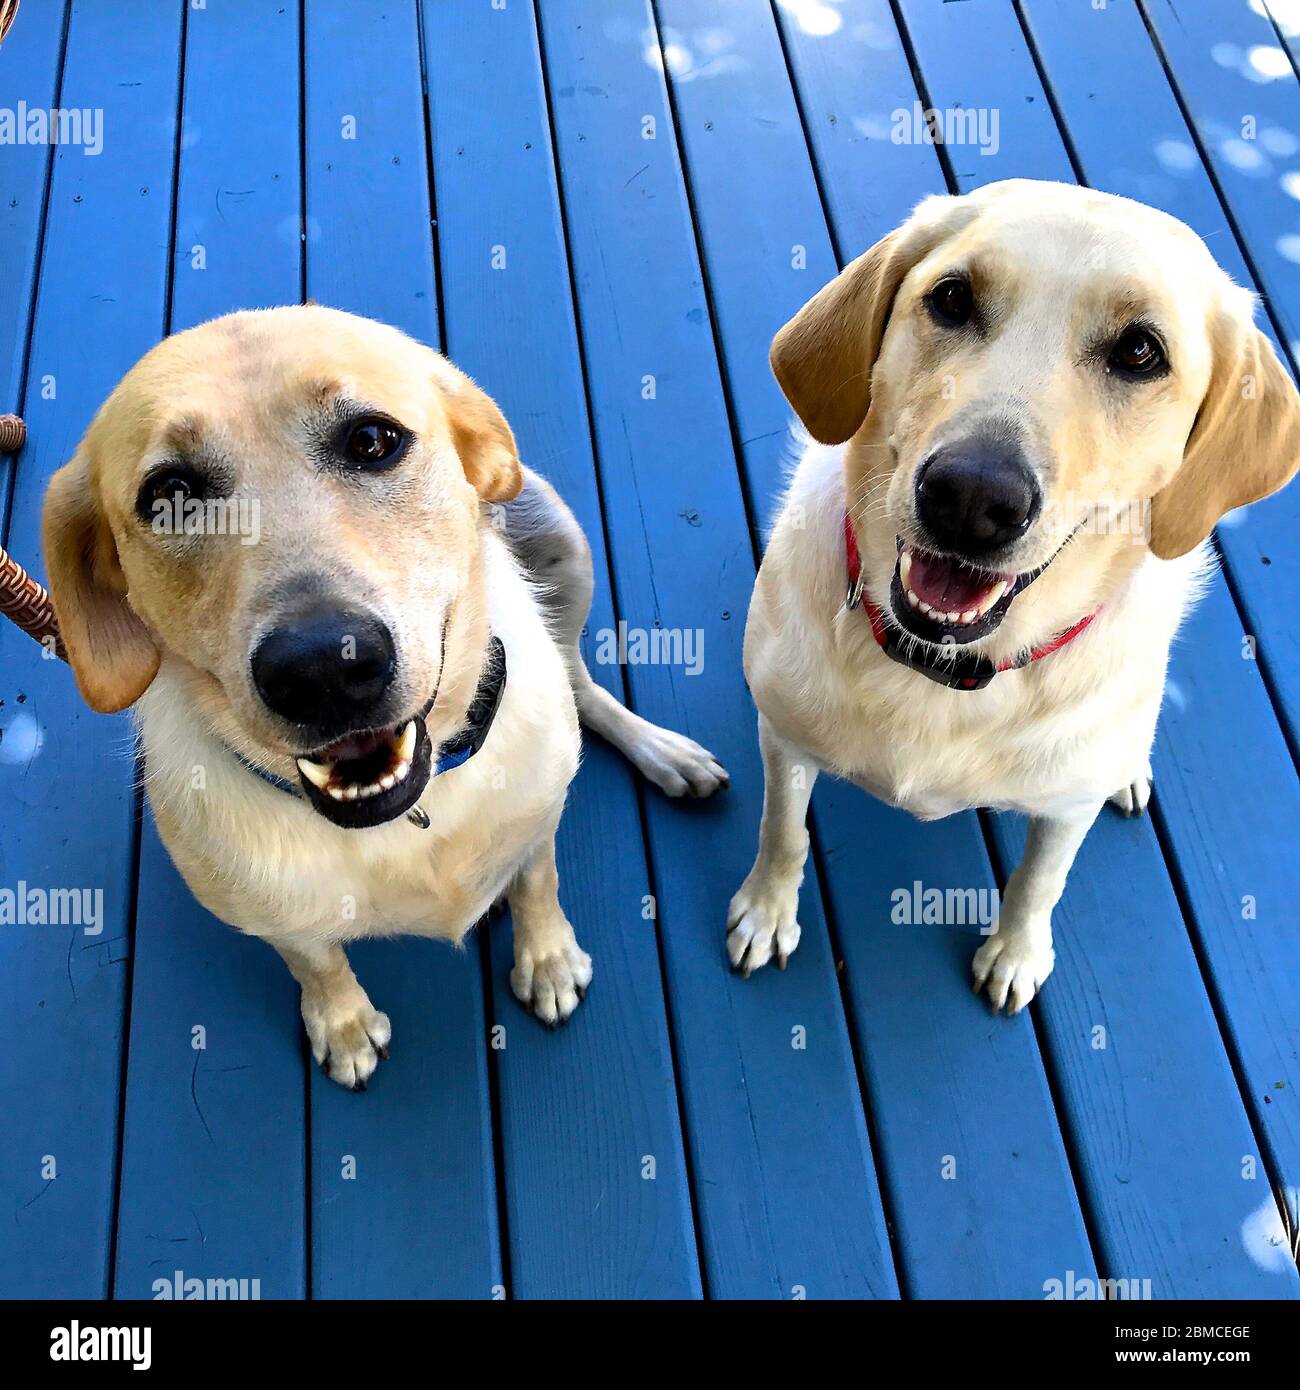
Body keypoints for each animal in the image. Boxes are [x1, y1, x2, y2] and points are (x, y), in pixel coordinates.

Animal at [728, 182, 1295, 1011]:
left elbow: (1038, 881)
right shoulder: (785, 738)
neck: (938, 672)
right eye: (952, 298)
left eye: (1139, 351)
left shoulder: (1063, 812)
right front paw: (767, 909)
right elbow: (782, 832)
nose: (971, 498)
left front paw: (1017, 952)